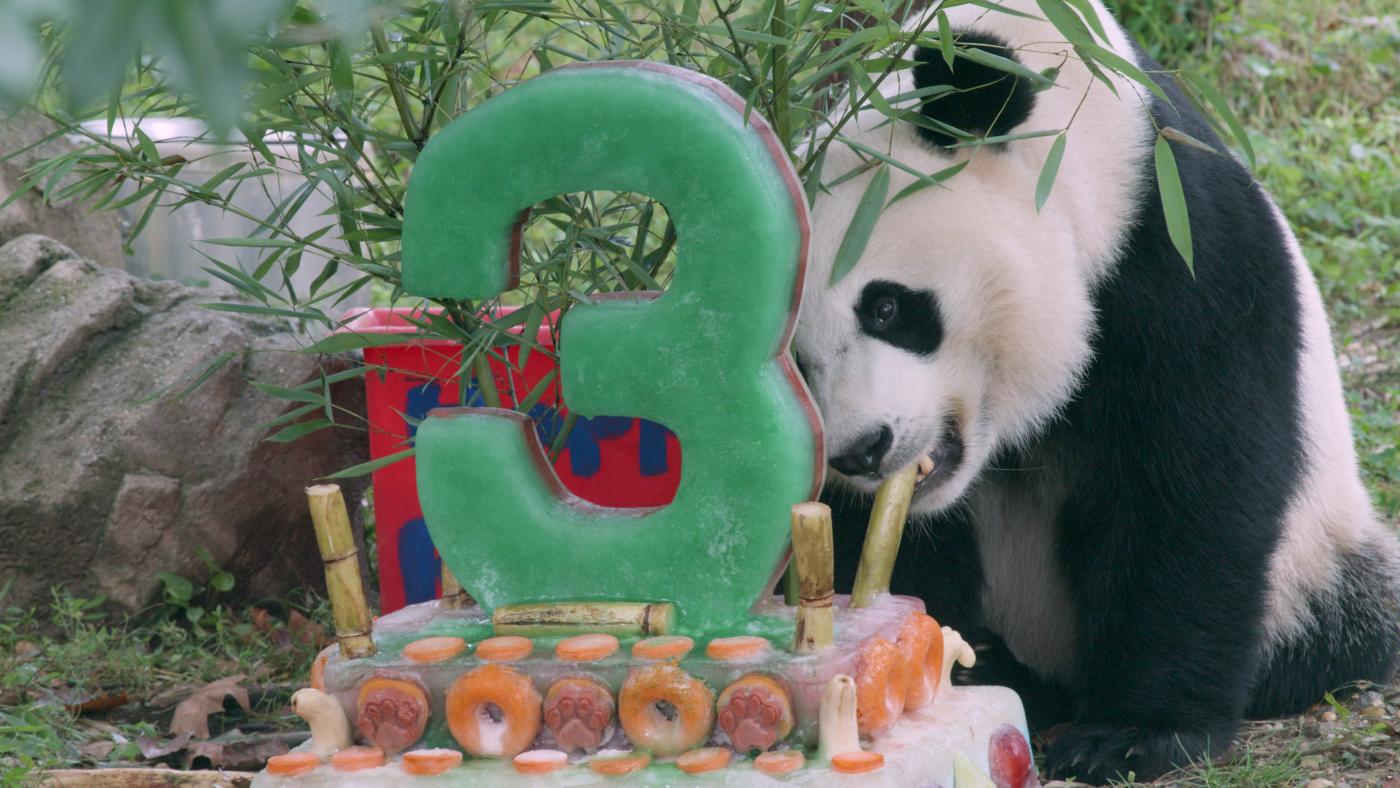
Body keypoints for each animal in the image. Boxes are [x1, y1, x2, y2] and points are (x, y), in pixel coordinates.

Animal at [795, 0, 1394, 783]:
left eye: (887, 308)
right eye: (798, 359)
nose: (862, 452)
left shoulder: (1174, 249)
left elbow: (1190, 487)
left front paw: (1134, 733)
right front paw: (956, 663)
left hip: (1317, 558)